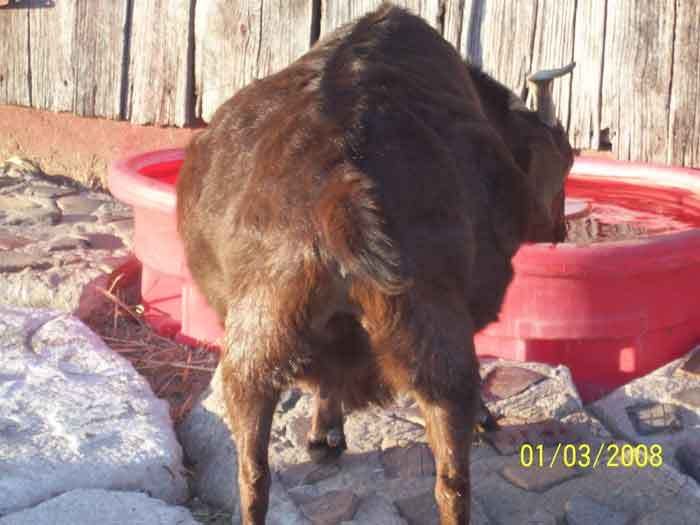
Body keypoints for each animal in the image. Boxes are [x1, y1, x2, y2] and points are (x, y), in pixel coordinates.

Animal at [176, 3, 574, 523]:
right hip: (435, 342)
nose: (561, 229)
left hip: (254, 350)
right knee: (453, 480)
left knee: (253, 474)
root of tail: (338, 194)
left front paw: (323, 437)